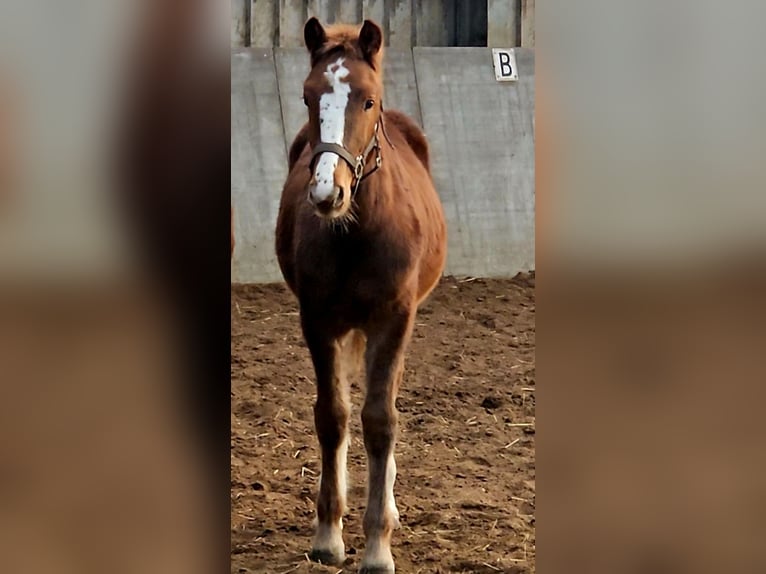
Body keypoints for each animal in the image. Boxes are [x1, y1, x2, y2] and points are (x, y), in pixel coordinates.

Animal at [276, 18, 448, 574]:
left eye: (367, 100)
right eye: (308, 97)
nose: (327, 193)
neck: (355, 233)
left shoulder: (393, 320)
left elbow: (380, 420)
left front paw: (377, 545)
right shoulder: (317, 320)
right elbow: (333, 415)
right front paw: (329, 534)